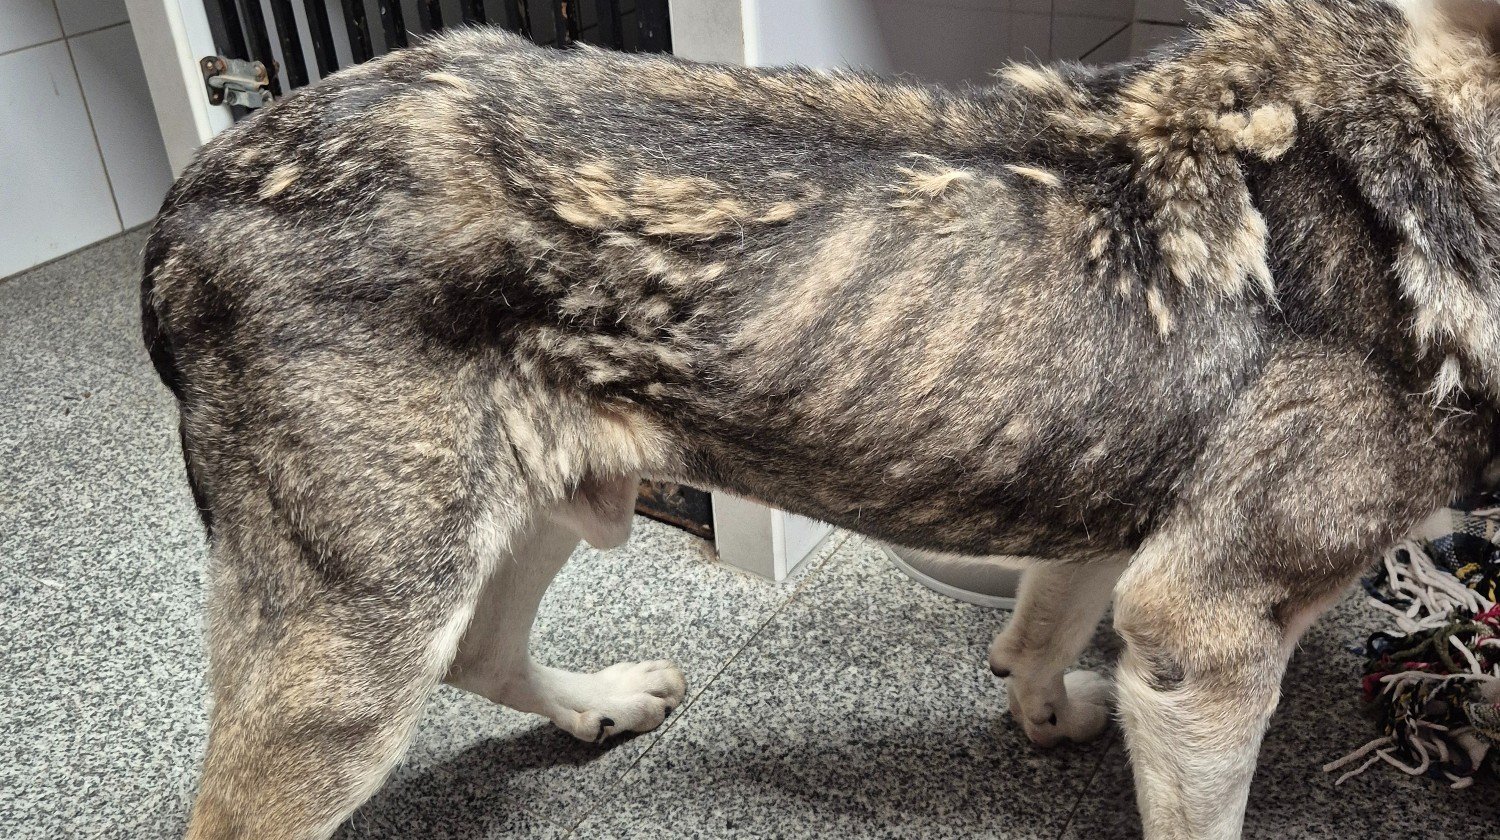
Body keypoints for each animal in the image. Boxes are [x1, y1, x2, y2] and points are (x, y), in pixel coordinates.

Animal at [140, 1, 1500, 836]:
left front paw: (1046, 714)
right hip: (359, 652)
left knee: (481, 653)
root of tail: (193, 192)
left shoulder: (1120, 531)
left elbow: (1042, 631)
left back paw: (602, 704)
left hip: (532, 510)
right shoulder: (1210, 631)